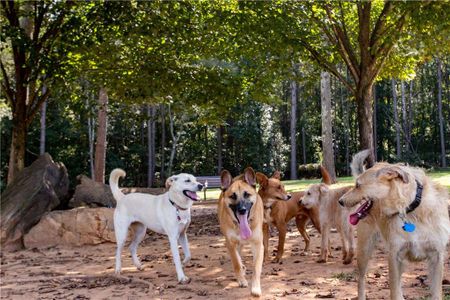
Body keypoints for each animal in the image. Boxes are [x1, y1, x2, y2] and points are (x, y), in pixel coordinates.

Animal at [217, 168, 264, 296]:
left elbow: (256, 267)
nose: (242, 210)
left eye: (247, 194)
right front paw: (241, 279)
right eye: (233, 196)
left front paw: (256, 287)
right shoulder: (230, 243)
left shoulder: (258, 244)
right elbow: (236, 263)